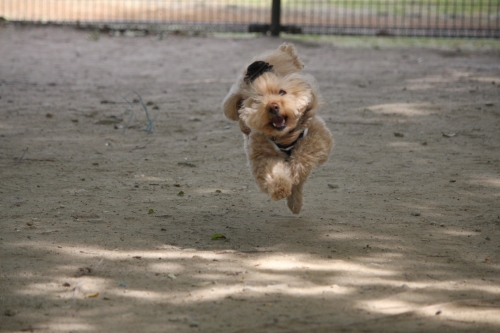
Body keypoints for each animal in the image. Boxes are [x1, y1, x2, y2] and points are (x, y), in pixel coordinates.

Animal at [222, 42, 332, 214]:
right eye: (257, 99)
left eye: (282, 92)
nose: (273, 106)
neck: (284, 137)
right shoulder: (261, 156)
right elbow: (274, 171)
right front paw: (280, 188)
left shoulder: (318, 137)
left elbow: (304, 154)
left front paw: (295, 170)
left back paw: (295, 201)